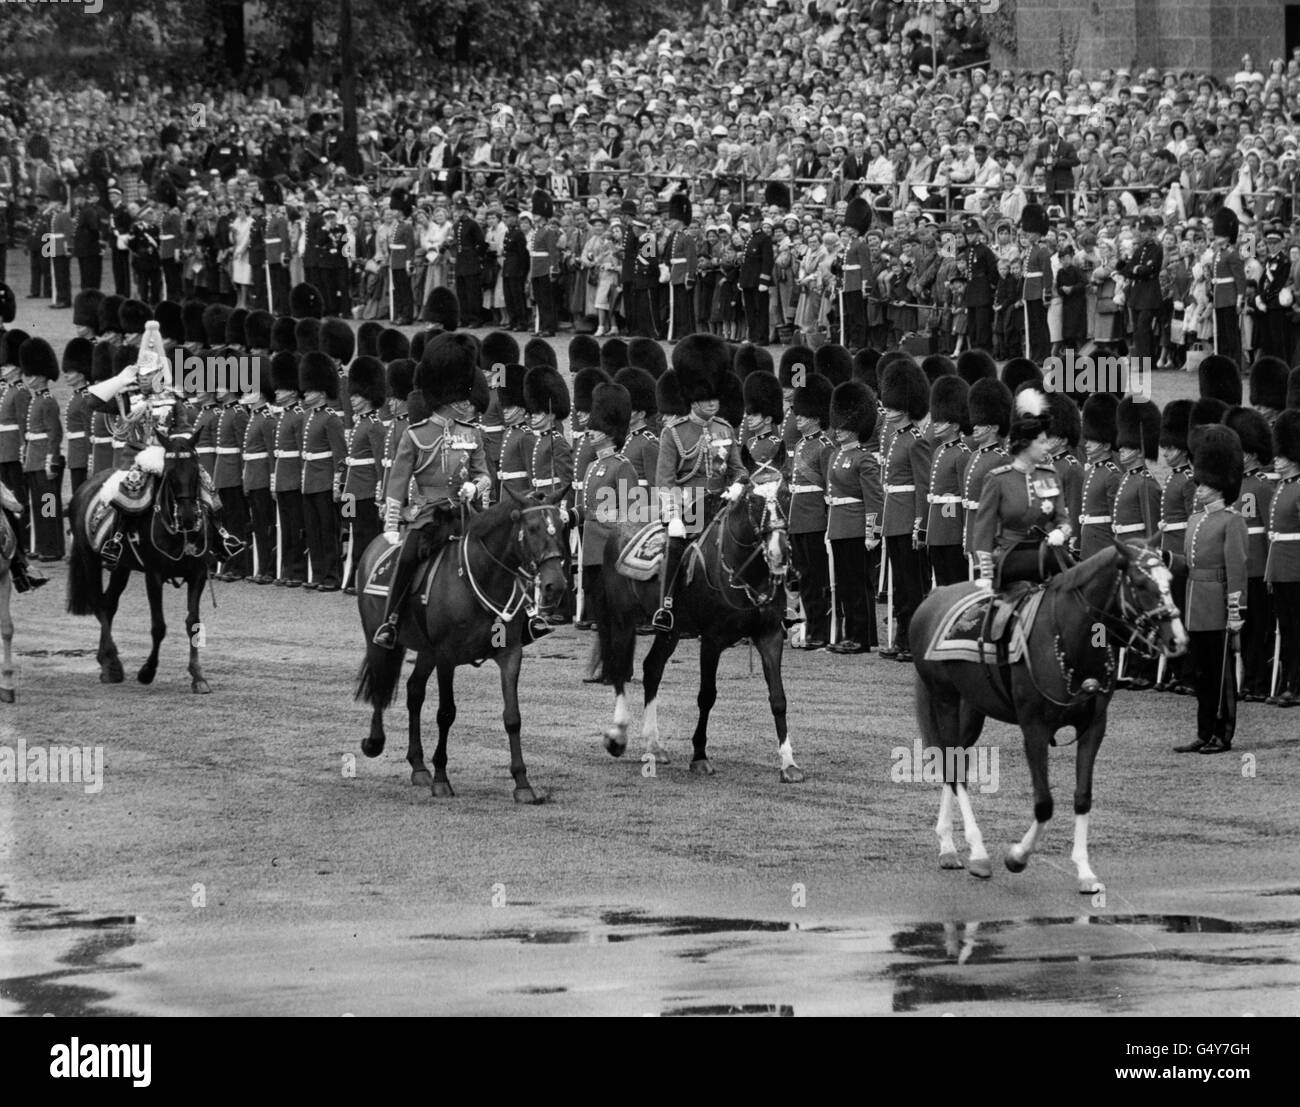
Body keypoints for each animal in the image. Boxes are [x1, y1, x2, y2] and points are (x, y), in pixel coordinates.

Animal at [351, 488, 569, 800]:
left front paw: (522, 783)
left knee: (414, 692)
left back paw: (418, 766)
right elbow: (446, 713)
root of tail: (376, 544)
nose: (556, 586)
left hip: (426, 651)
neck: (482, 575)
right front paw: (442, 778)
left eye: (561, 526)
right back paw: (375, 743)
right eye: (532, 528)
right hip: (378, 639)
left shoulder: (510, 654)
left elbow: (512, 716)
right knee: (381, 683)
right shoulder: (446, 657)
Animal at [592, 483, 795, 779]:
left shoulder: (770, 636)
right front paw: (699, 756)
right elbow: (706, 696)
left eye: (786, 495)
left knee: (652, 669)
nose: (780, 552)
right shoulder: (711, 640)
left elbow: (778, 698)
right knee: (619, 670)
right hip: (622, 620)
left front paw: (789, 763)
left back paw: (654, 745)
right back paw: (618, 736)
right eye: (754, 502)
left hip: (671, 630)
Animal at [909, 540, 1185, 893]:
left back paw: (951, 847)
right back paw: (975, 853)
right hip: (944, 698)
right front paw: (1017, 857)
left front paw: (1085, 871)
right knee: (954, 769)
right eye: (1140, 583)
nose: (1177, 638)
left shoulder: (1093, 727)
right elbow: (1044, 804)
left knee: (953, 762)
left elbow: (1082, 797)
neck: (1071, 638)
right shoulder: (1035, 729)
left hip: (970, 708)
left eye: (1170, 580)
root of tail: (935, 595)